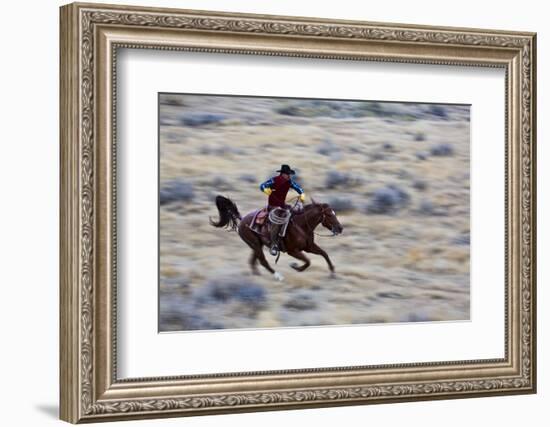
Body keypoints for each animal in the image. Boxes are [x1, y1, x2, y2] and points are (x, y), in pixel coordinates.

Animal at [211, 196, 344, 282]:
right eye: (330, 215)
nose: (340, 228)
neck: (301, 226)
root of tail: (242, 220)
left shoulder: (309, 247)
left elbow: (324, 254)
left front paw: (333, 272)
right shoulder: (293, 251)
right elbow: (307, 261)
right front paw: (295, 266)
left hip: (257, 245)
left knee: (253, 261)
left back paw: (257, 276)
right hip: (255, 244)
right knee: (263, 261)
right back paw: (278, 276)